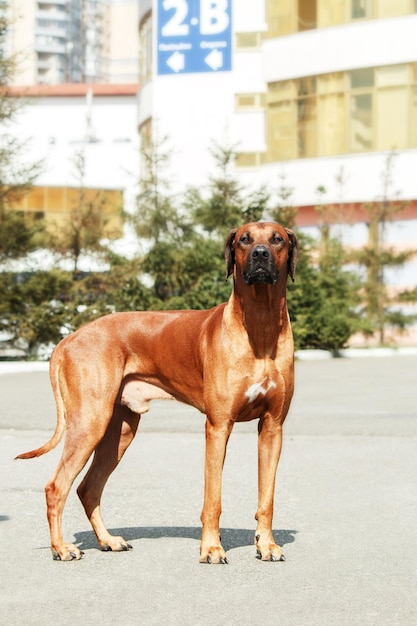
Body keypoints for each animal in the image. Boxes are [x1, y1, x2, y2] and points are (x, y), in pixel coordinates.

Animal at [15, 222, 296, 564]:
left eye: (277, 239)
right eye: (245, 239)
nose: (260, 254)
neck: (260, 323)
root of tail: (68, 338)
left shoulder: (272, 427)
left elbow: (267, 498)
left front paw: (266, 544)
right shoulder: (218, 427)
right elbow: (212, 499)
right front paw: (211, 548)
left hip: (119, 430)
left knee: (88, 488)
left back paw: (107, 540)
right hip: (89, 422)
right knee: (56, 487)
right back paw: (61, 548)